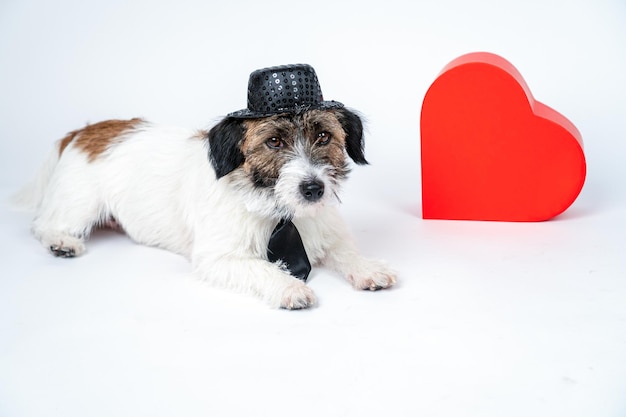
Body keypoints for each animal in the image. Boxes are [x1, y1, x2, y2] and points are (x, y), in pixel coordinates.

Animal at [14, 63, 394, 308]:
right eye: (273, 141)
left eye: (324, 136)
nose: (313, 190)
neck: (277, 208)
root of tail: (84, 131)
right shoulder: (218, 257)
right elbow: (262, 266)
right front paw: (289, 287)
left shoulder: (328, 232)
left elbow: (346, 251)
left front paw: (369, 268)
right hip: (79, 204)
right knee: (43, 224)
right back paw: (62, 242)